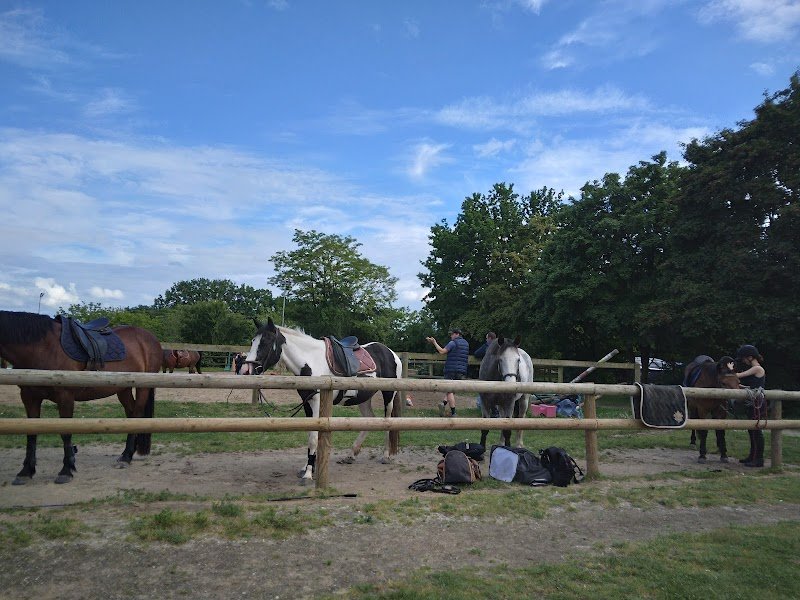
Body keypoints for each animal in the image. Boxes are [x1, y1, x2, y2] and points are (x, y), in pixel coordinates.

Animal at [0, 310, 163, 484]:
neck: (42, 348)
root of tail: (150, 337)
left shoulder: (65, 397)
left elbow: (65, 433)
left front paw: (66, 470)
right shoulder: (29, 397)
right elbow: (31, 433)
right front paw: (25, 472)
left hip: (143, 387)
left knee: (137, 414)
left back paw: (126, 457)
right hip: (123, 389)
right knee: (131, 415)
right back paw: (127, 454)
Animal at [244, 317, 401, 483]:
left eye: (265, 342)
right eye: (253, 341)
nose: (247, 369)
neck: (311, 361)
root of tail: (391, 353)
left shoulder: (317, 403)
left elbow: (314, 437)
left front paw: (308, 474)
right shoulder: (307, 403)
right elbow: (311, 435)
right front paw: (308, 467)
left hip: (389, 394)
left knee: (388, 421)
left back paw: (385, 456)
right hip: (363, 398)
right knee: (369, 420)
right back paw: (351, 454)